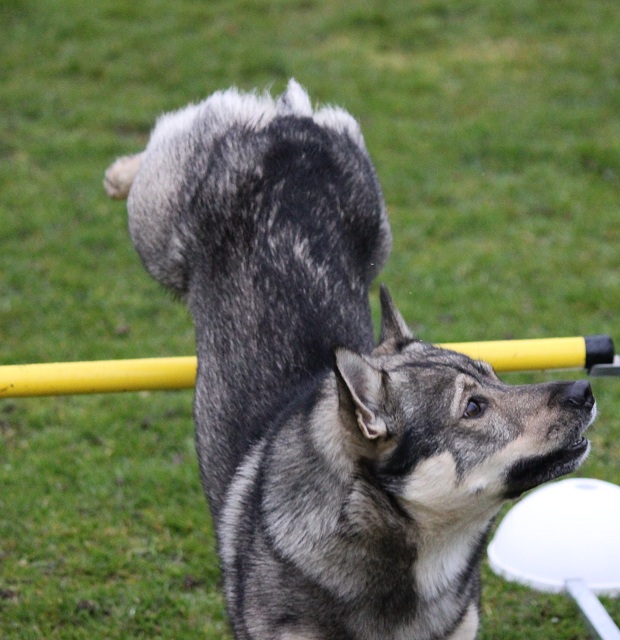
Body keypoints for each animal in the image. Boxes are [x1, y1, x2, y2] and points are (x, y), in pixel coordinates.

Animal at [105, 81, 596, 640]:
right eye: (473, 408)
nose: (584, 392)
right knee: (166, 141)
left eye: (495, 377)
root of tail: (286, 131)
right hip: (158, 233)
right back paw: (120, 172)